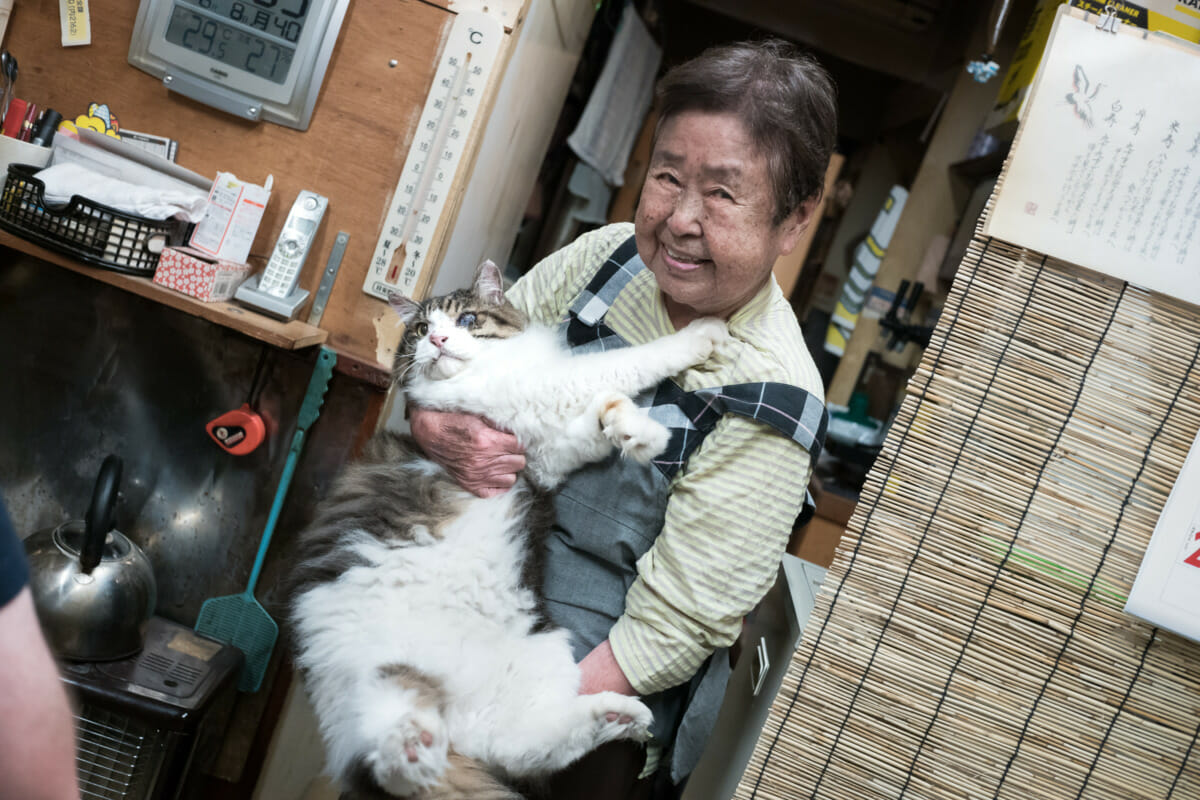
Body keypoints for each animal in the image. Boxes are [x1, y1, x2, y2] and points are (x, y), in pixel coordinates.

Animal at [285, 262, 724, 800]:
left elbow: (605, 408)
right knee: (391, 761)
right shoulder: (551, 398)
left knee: (519, 745)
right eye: (420, 329)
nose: (438, 340)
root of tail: (454, 716)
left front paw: (637, 432)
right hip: (367, 682)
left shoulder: (544, 452)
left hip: (540, 658)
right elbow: (630, 362)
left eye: (468, 319)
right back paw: (414, 750)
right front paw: (702, 336)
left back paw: (618, 715)